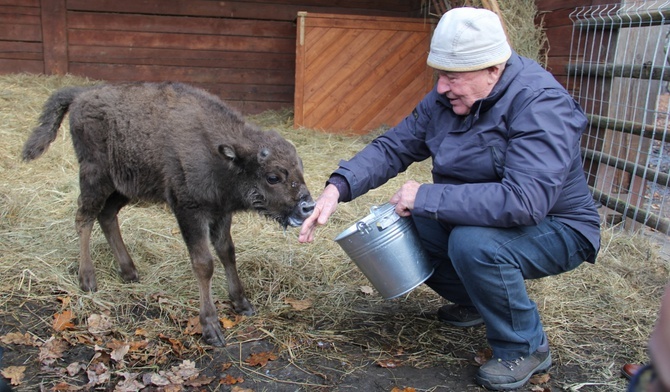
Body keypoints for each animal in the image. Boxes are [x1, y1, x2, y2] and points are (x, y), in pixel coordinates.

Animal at [21, 82, 316, 346]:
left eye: (299, 168)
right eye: (273, 177)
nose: (307, 206)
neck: (220, 155)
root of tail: (81, 95)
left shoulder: (220, 213)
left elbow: (227, 252)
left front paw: (242, 303)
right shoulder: (189, 212)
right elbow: (204, 264)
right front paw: (211, 328)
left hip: (124, 186)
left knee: (106, 216)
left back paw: (129, 272)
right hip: (95, 177)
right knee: (84, 217)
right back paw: (88, 279)